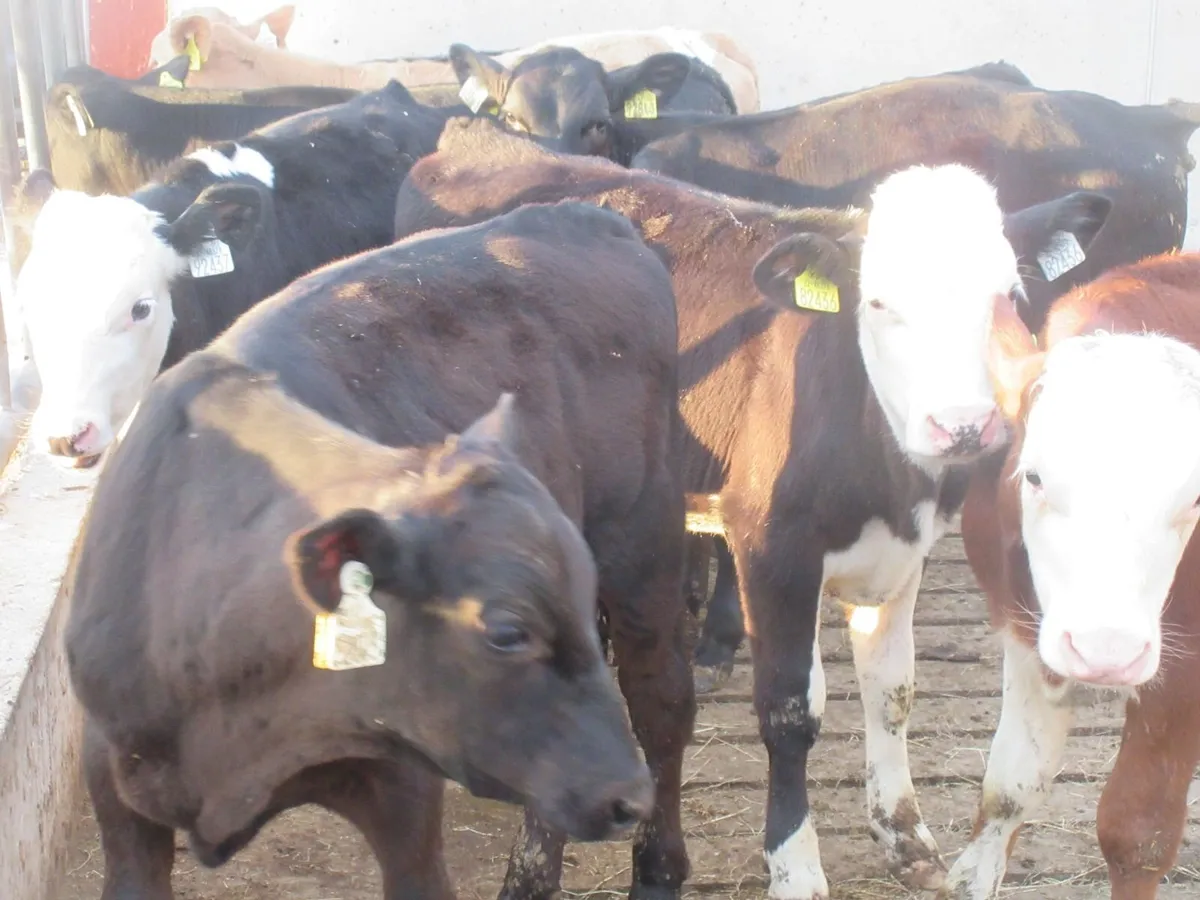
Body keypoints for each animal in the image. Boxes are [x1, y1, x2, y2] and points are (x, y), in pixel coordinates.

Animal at [66, 199, 695, 900]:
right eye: (506, 632)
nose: (626, 796)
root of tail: (579, 213)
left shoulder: (404, 788)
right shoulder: (116, 790)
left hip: (645, 542)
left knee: (662, 698)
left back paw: (658, 868)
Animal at [390, 118, 1114, 898]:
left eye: (1008, 296)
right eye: (878, 304)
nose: (964, 426)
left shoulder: (902, 550)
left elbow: (892, 690)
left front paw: (903, 834)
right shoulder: (772, 547)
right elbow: (789, 712)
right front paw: (796, 867)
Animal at [941, 251, 1200, 900]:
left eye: (1195, 498)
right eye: (1032, 477)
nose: (1105, 649)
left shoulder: (1186, 666)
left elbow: (1138, 833)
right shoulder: (1023, 629)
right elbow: (1010, 784)